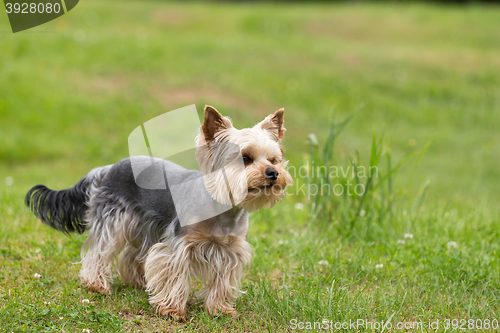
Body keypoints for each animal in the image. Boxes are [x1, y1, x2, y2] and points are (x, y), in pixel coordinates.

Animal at [25, 106, 292, 320]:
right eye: (245, 158)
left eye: (274, 159)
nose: (273, 173)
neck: (223, 210)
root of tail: (107, 168)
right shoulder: (178, 246)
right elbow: (174, 275)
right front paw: (172, 310)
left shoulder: (231, 251)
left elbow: (222, 281)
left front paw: (220, 309)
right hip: (115, 218)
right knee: (99, 251)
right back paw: (96, 284)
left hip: (142, 224)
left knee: (131, 255)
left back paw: (138, 281)